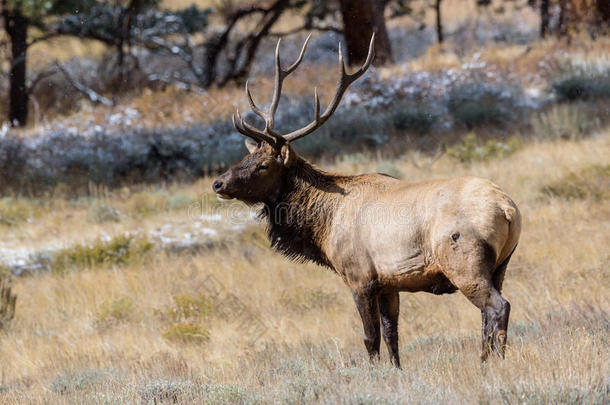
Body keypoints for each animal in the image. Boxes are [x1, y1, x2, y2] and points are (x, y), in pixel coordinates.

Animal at [213, 33, 516, 364]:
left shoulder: (359, 277)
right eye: (246, 156)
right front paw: (396, 370)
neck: (324, 226)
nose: (218, 183)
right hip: (501, 266)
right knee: (489, 315)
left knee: (498, 307)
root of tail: (508, 209)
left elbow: (370, 338)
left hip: (465, 262)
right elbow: (392, 335)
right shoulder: (389, 283)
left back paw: (491, 363)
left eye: (264, 165)